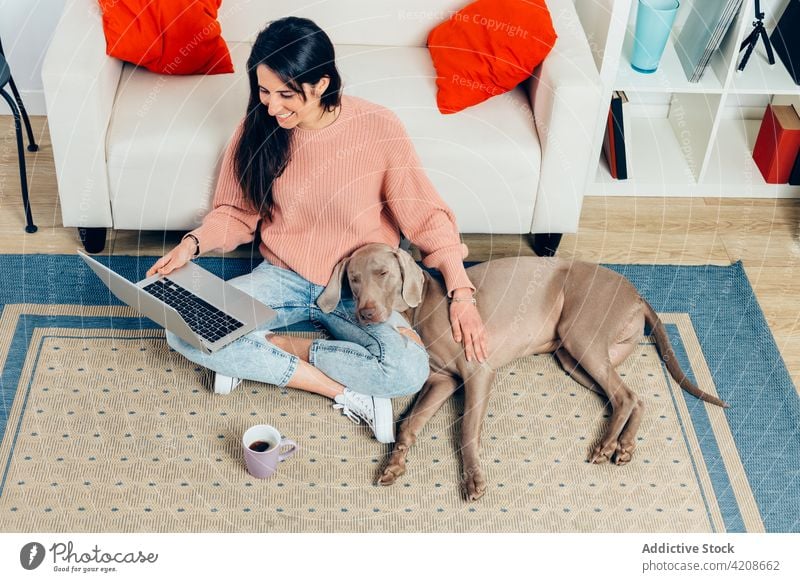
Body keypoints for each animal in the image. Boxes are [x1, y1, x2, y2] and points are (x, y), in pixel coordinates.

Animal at [316, 244, 728, 504]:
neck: (423, 308)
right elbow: (408, 425)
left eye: (383, 273)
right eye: (353, 279)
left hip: (581, 333)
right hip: (573, 358)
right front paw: (394, 464)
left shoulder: (477, 372)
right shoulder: (441, 380)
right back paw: (624, 446)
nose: (365, 313)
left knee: (625, 396)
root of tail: (636, 294)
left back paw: (608, 445)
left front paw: (473, 478)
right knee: (632, 397)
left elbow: (466, 430)